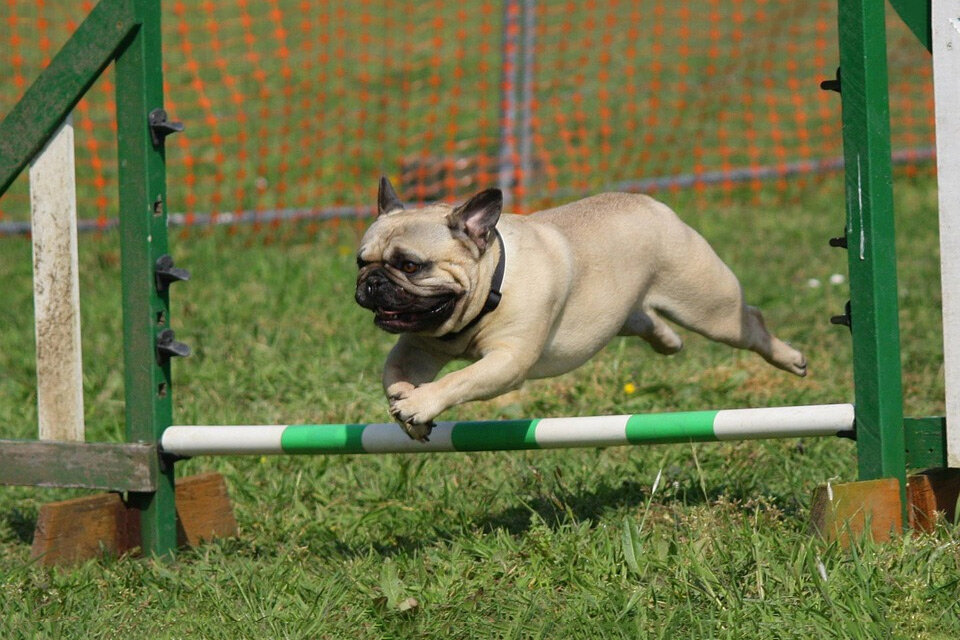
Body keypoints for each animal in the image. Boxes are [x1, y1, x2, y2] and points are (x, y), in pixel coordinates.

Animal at [352, 178, 804, 442]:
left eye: (411, 265)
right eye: (360, 262)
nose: (371, 282)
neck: (491, 286)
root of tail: (653, 205)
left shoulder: (507, 362)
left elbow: (459, 379)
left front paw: (419, 403)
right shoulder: (416, 347)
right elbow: (393, 373)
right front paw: (406, 403)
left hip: (709, 306)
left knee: (751, 323)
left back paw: (790, 358)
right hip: (624, 312)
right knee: (645, 320)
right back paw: (666, 339)